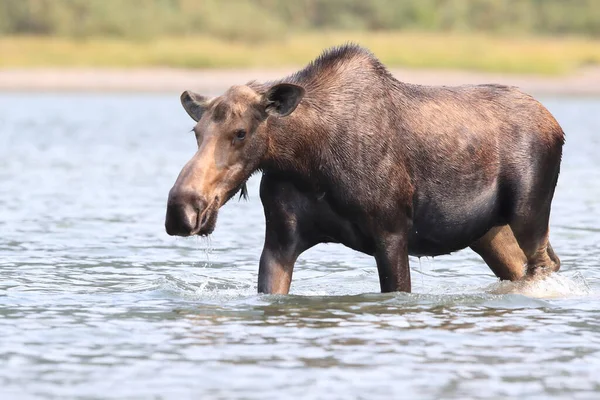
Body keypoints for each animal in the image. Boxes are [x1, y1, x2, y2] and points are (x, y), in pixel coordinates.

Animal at [163, 44, 564, 294]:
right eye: (196, 132)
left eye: (241, 132)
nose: (182, 209)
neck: (306, 159)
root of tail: (557, 125)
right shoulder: (279, 242)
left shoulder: (392, 235)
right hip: (489, 232)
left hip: (529, 213)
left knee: (544, 263)